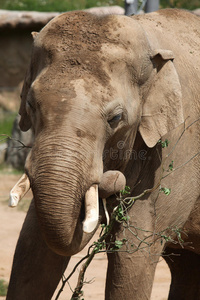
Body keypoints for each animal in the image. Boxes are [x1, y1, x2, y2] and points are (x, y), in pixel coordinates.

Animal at [6, 8, 200, 298]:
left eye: (116, 118)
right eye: (30, 104)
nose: (112, 181)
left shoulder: (171, 152)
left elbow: (131, 254)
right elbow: (32, 249)